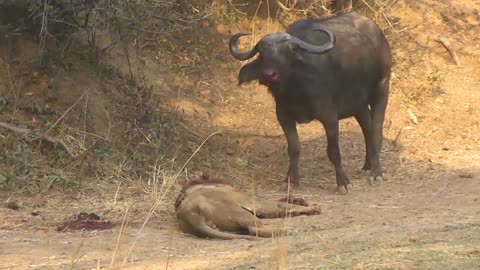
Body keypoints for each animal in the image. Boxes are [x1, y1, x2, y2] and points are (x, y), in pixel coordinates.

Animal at [174, 174, 320, 242]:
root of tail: (187, 212)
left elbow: (283, 200)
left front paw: (301, 200)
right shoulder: (255, 201)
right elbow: (282, 205)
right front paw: (314, 207)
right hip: (240, 213)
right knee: (254, 229)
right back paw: (289, 229)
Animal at [228, 11, 390, 194]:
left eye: (289, 51)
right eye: (261, 53)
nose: (268, 75)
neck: (296, 90)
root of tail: (378, 33)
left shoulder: (329, 116)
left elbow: (334, 151)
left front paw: (343, 182)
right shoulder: (283, 115)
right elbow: (294, 148)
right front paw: (290, 180)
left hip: (382, 88)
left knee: (376, 130)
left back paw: (376, 172)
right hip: (358, 104)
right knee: (367, 129)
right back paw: (367, 166)